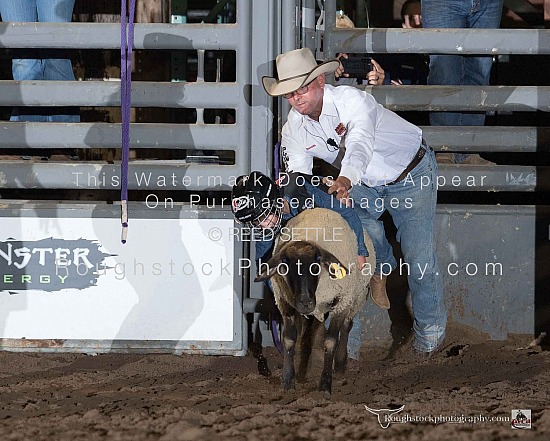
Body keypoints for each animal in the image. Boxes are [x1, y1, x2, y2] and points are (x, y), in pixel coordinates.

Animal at [256, 206, 378, 392]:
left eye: (317, 261)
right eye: (284, 262)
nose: (305, 302)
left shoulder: (341, 301)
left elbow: (331, 341)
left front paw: (325, 385)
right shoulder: (284, 301)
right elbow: (289, 340)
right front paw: (288, 381)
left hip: (356, 297)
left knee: (346, 326)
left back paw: (340, 364)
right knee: (311, 332)